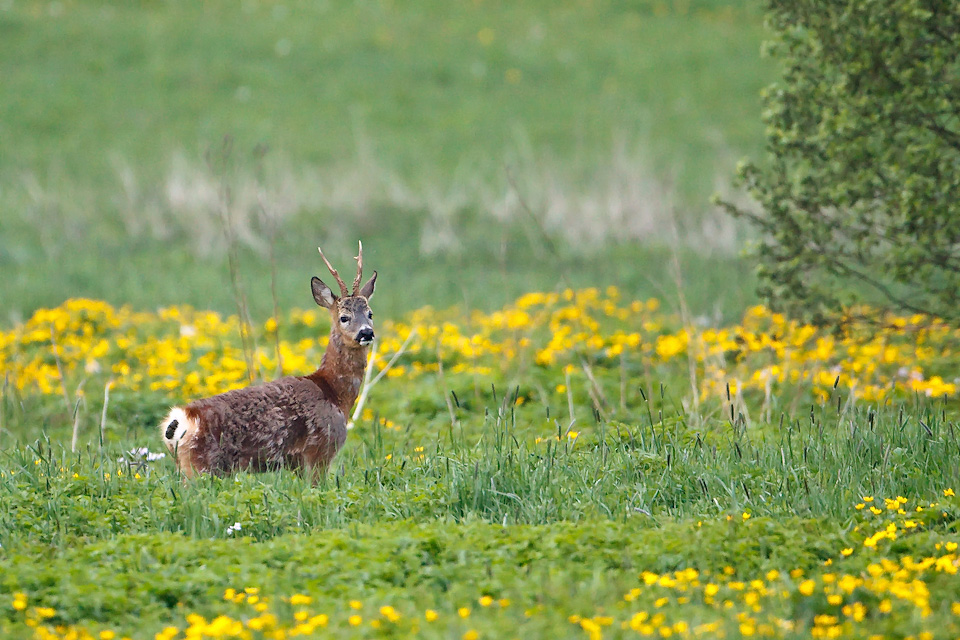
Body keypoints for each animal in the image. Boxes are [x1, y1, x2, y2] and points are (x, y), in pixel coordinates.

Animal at [159, 242, 376, 478]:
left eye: (370, 313)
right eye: (344, 317)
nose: (366, 333)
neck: (334, 392)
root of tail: (179, 420)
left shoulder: (297, 464)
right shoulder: (320, 450)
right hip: (201, 466)